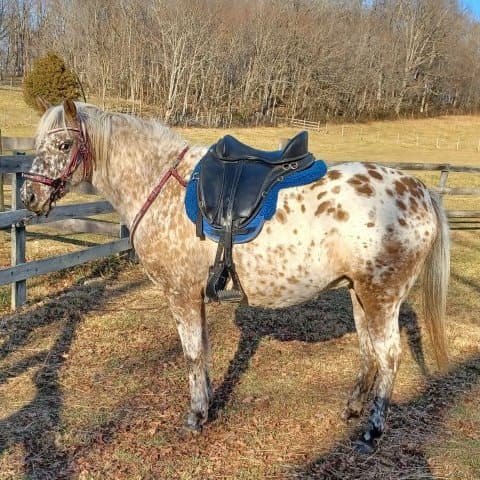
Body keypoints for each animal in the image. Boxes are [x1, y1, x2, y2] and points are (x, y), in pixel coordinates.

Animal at [21, 99, 450, 452]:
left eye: (63, 146)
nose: (28, 197)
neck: (160, 185)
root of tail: (419, 190)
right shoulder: (195, 294)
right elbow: (204, 350)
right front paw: (208, 404)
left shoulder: (180, 294)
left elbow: (192, 353)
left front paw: (195, 417)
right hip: (359, 295)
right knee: (369, 352)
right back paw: (352, 410)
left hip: (382, 297)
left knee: (389, 356)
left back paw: (372, 432)